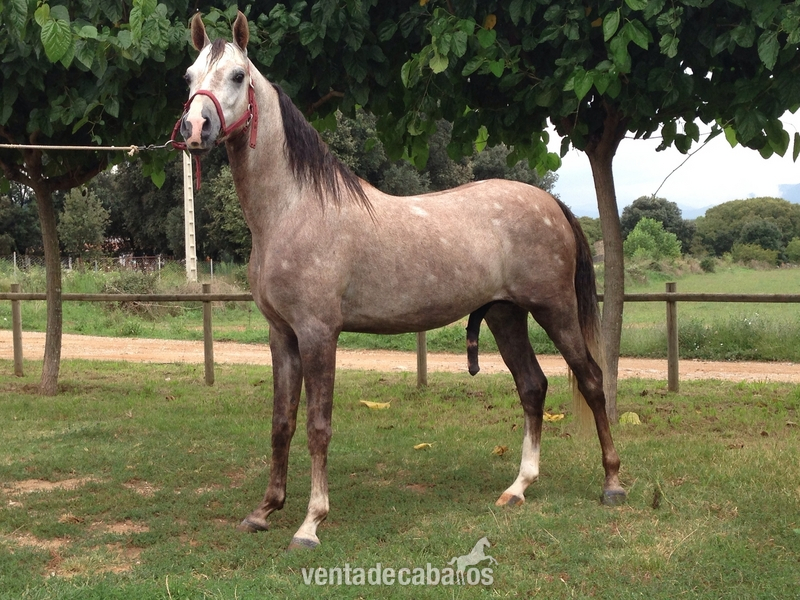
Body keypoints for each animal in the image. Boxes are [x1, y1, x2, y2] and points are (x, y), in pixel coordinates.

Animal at [177, 11, 625, 551]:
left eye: (238, 76)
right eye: (189, 77)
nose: (194, 128)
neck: (293, 209)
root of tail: (550, 203)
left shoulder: (318, 335)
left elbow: (318, 426)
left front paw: (310, 523)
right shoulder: (281, 335)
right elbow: (281, 423)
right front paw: (265, 510)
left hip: (554, 310)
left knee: (593, 381)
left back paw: (612, 483)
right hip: (505, 315)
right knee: (533, 387)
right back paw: (518, 487)